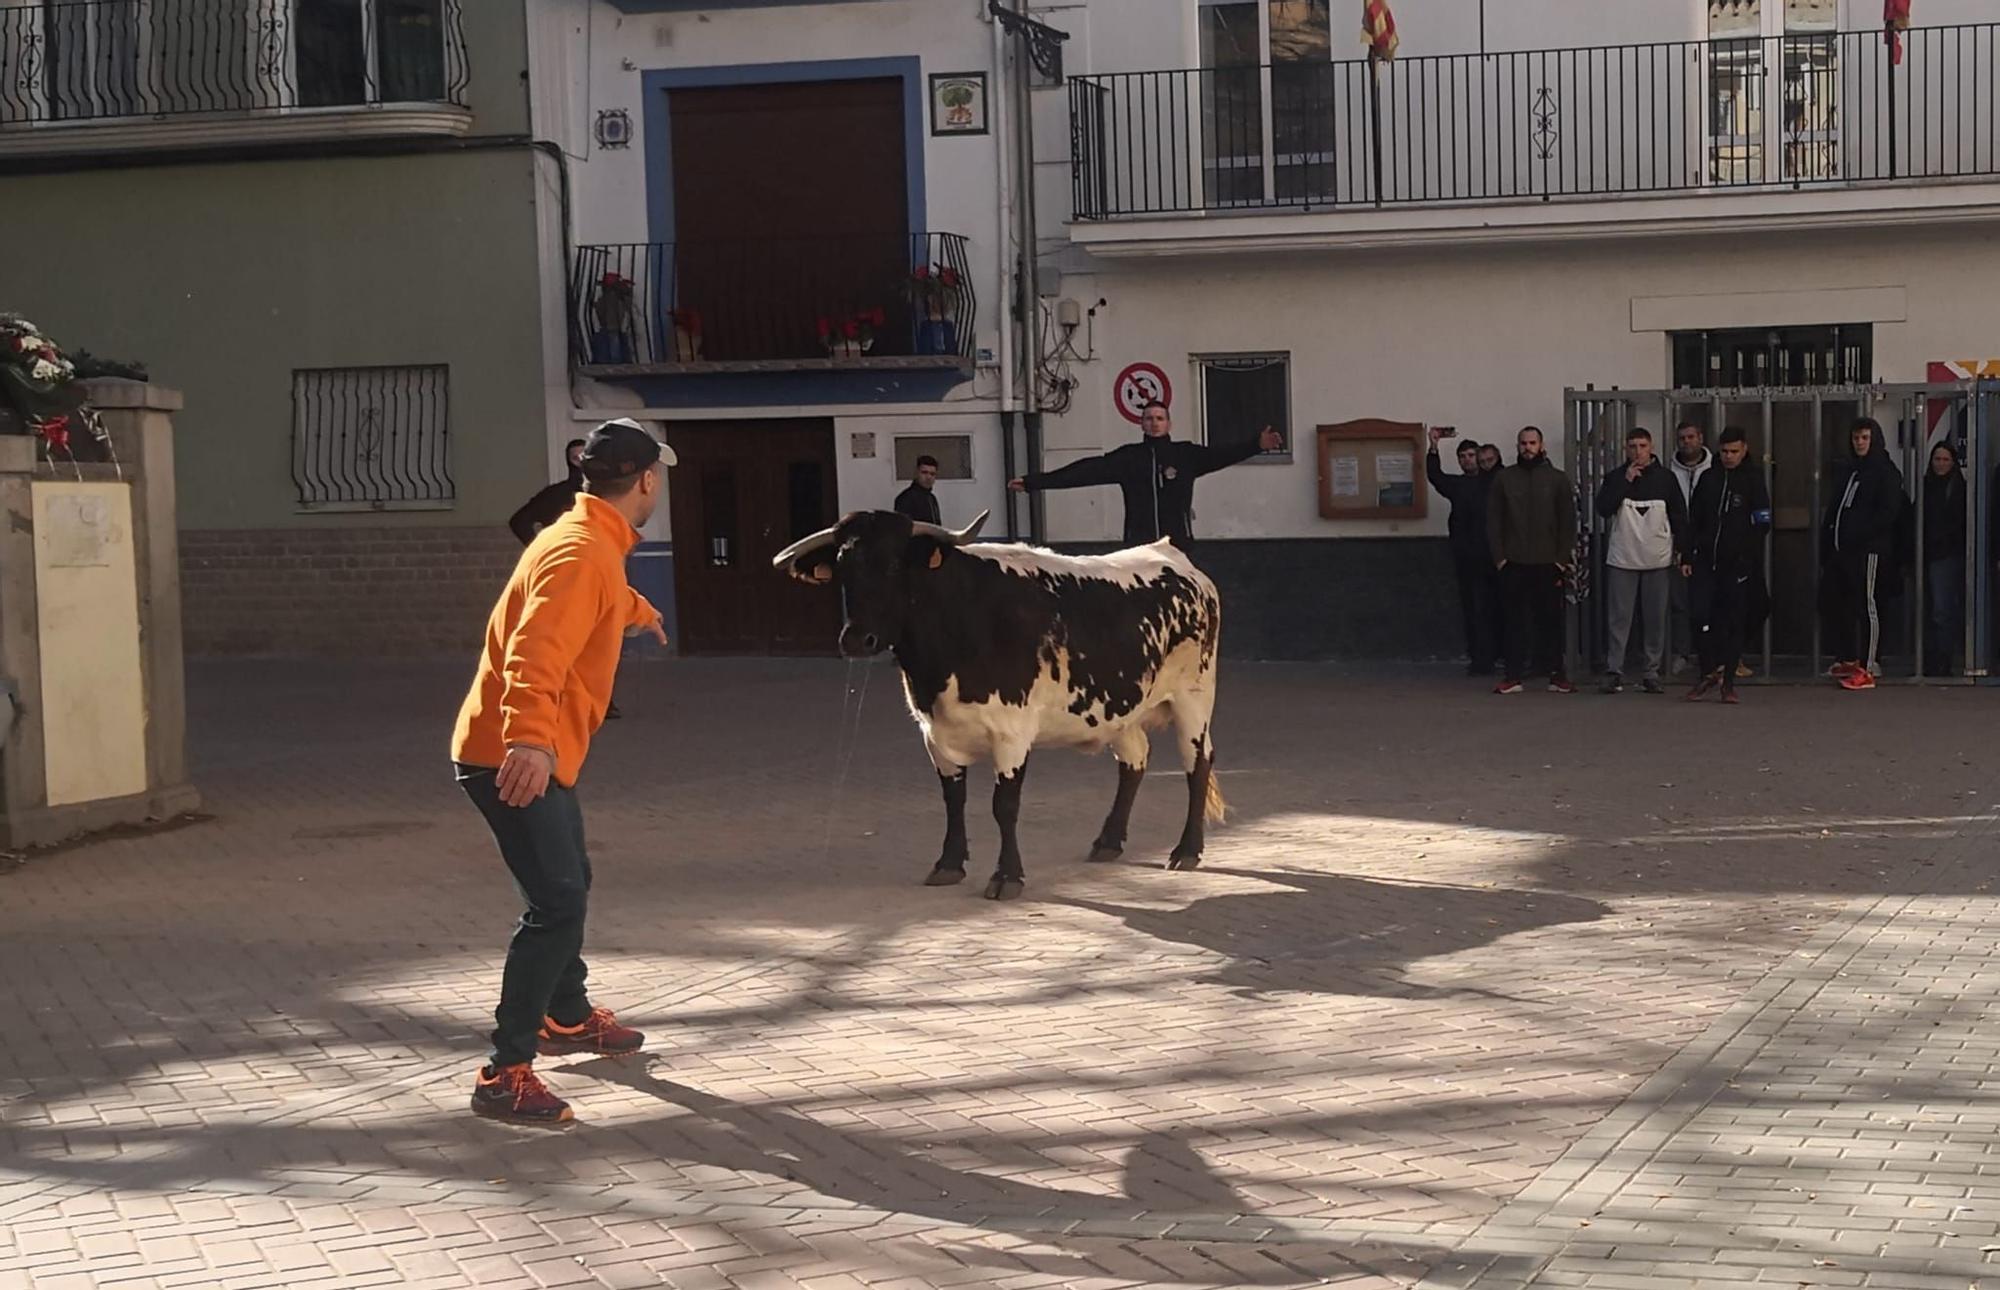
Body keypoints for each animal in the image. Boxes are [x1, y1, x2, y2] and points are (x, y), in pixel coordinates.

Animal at [772, 508, 1224, 900]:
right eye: (843, 567)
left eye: (896, 564)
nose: (856, 639)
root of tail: (1170, 553)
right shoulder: (933, 734)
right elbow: (953, 800)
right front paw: (949, 864)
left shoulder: (1011, 732)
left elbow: (1004, 805)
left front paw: (1007, 876)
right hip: (1120, 710)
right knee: (1134, 762)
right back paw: (1108, 841)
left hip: (1194, 698)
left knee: (1197, 763)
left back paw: (1186, 850)